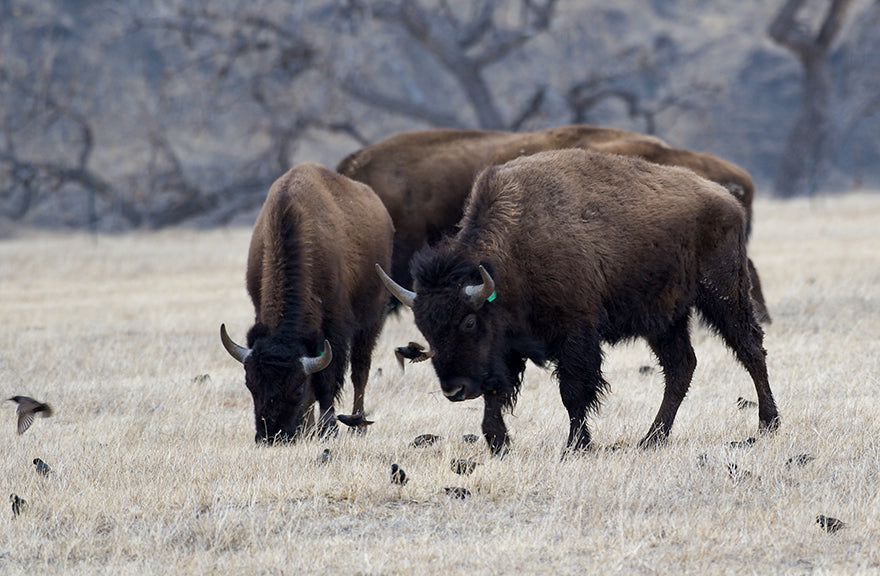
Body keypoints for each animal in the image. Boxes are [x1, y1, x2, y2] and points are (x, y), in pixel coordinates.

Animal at [222, 164, 394, 444]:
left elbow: (327, 379)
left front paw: (328, 429)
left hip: (372, 320)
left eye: (297, 386)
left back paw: (357, 426)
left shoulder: (335, 329)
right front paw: (309, 428)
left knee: (360, 370)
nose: (271, 435)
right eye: (251, 385)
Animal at [374, 151, 780, 456]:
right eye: (425, 328)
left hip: (723, 294)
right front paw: (498, 443)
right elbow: (497, 393)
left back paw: (768, 423)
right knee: (682, 366)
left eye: (469, 322)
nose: (454, 390)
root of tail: (727, 200)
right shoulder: (508, 347)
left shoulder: (575, 334)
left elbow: (573, 392)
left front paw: (575, 446)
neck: (515, 250)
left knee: (750, 349)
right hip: (665, 318)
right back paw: (652, 439)